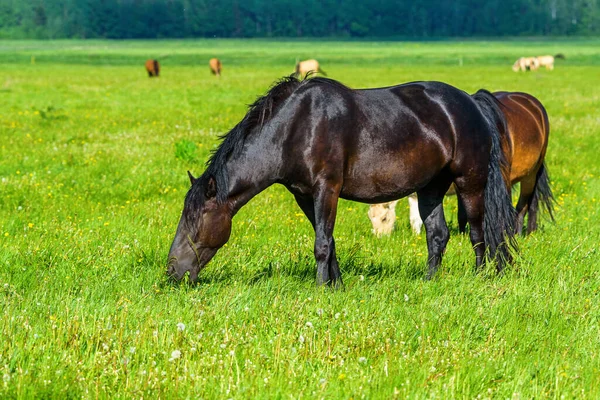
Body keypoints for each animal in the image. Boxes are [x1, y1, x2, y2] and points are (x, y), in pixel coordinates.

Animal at [166, 76, 516, 284]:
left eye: (195, 220)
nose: (171, 271)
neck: (296, 127)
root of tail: (471, 101)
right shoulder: (304, 196)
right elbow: (328, 241)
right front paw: (337, 285)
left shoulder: (327, 189)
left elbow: (322, 243)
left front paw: (322, 287)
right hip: (431, 187)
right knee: (438, 234)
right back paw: (430, 281)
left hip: (469, 182)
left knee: (478, 231)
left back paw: (481, 277)